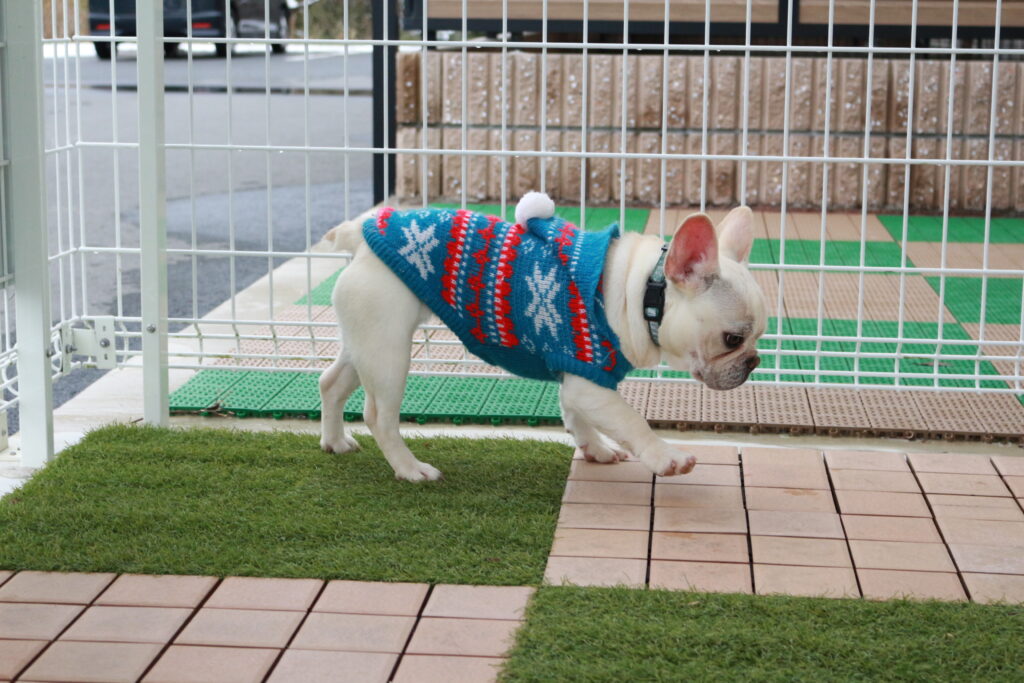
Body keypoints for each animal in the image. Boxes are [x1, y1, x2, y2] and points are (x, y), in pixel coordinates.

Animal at [318, 192, 766, 481]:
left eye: (757, 337)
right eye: (731, 339)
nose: (753, 362)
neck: (642, 292)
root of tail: (363, 231)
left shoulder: (577, 376)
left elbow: (575, 414)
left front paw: (594, 448)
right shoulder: (591, 381)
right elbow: (630, 420)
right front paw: (666, 457)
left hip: (365, 340)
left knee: (331, 382)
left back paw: (335, 441)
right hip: (388, 349)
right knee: (379, 415)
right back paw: (410, 470)